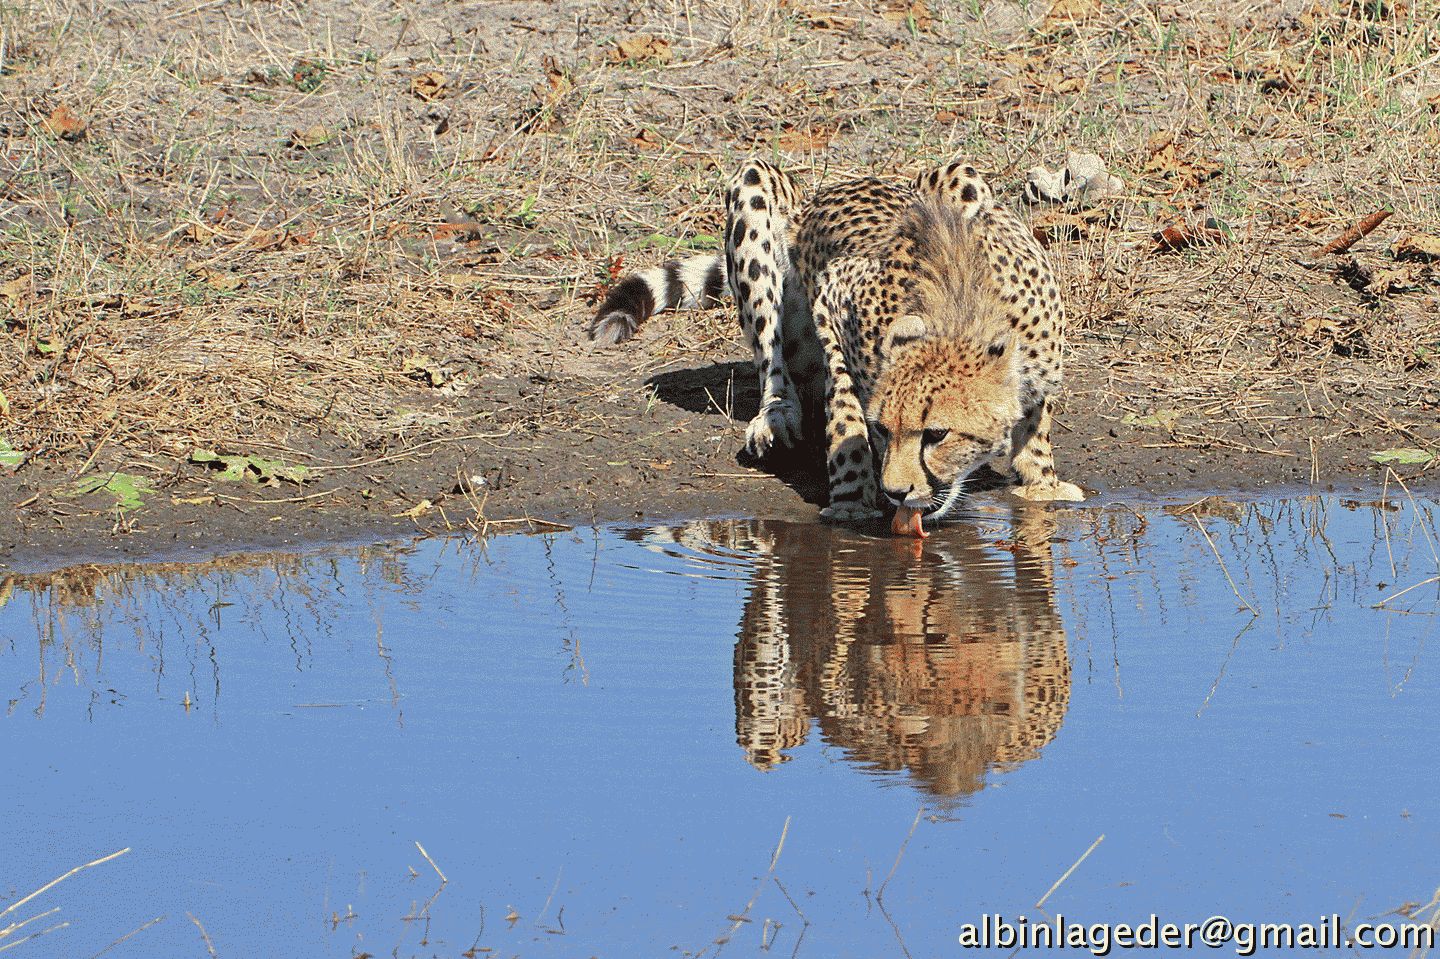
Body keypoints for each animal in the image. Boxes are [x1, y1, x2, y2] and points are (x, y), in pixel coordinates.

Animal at [588, 157, 1084, 526]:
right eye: (884, 429)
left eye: (936, 434)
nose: (896, 491)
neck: (961, 316)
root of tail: (823, 194)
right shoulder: (833, 295)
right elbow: (846, 412)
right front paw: (851, 499)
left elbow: (1036, 423)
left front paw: (1042, 482)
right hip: (755, 188)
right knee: (772, 358)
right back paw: (777, 414)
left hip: (960, 173)